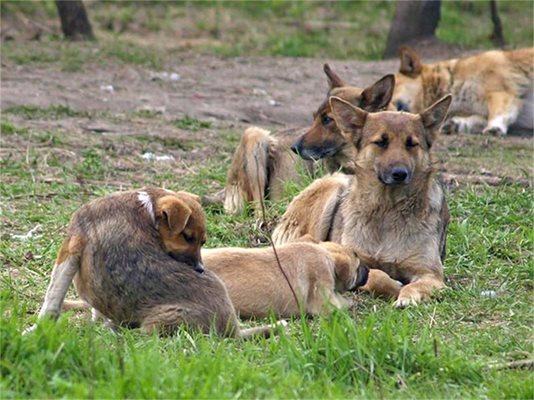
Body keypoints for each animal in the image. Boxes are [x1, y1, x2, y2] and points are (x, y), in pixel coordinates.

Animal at [24, 188, 284, 338]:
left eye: (202, 242)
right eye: (188, 237)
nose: (200, 269)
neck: (145, 207)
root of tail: (233, 328)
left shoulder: (70, 248)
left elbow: (52, 298)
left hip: (159, 322)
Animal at [274, 94, 454, 306]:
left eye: (411, 143)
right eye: (381, 142)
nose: (399, 174)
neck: (388, 209)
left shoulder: (430, 274)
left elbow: (416, 285)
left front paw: (406, 297)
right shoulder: (355, 259)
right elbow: (375, 275)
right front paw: (393, 286)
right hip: (334, 184)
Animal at [392, 46, 532, 135]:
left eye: (394, 84)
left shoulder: (501, 94)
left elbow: (498, 114)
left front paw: (494, 127)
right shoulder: (481, 112)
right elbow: (475, 119)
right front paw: (455, 124)